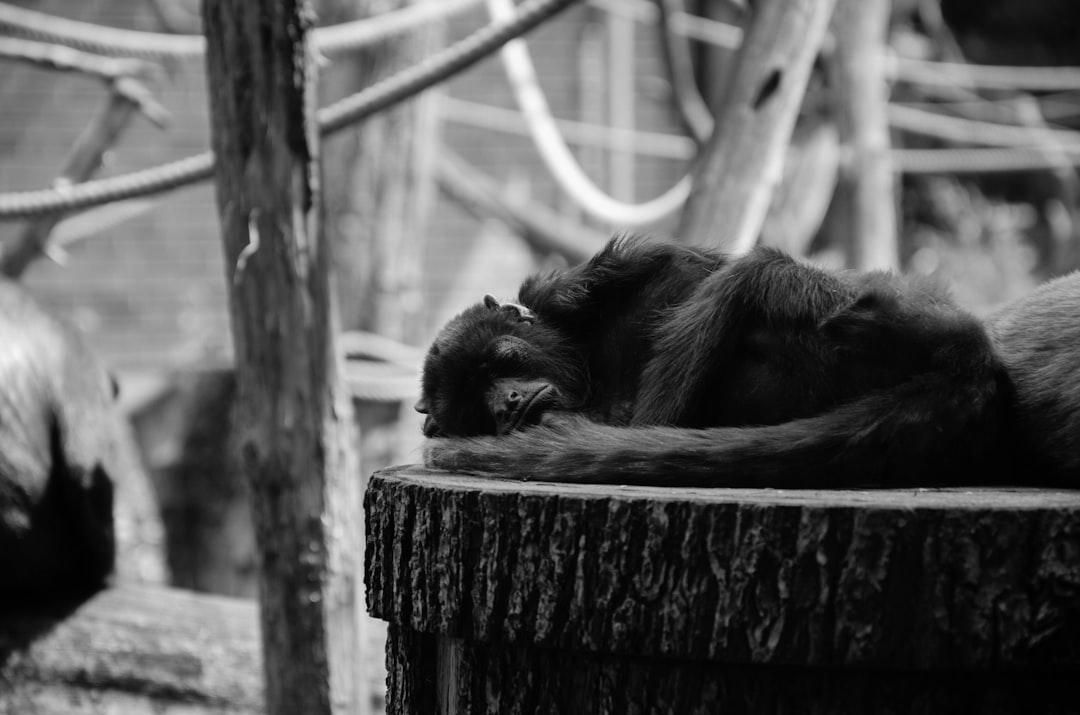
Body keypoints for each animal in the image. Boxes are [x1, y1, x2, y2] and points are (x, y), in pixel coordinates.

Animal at [414, 235, 1080, 488]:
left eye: (503, 362)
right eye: (476, 406)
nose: (509, 401)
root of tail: (968, 362)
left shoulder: (569, 287)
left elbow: (679, 270)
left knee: (756, 272)